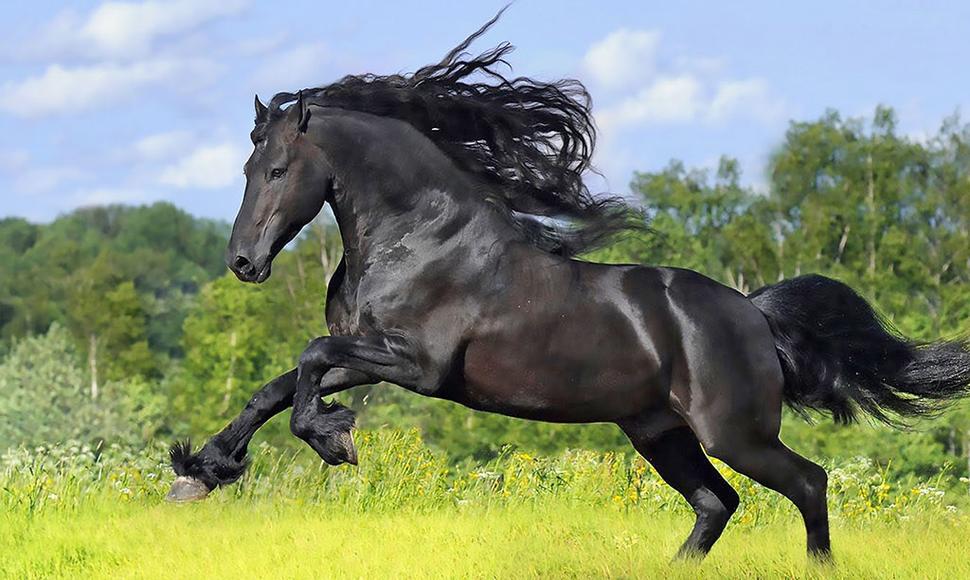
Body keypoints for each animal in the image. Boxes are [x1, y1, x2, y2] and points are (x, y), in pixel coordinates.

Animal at [167, 12, 970, 561]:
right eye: (247, 168)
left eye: (277, 170)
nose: (244, 263)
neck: (419, 237)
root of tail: (751, 313)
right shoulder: (367, 352)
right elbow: (276, 386)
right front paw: (200, 471)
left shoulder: (415, 365)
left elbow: (305, 359)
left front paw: (333, 442)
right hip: (659, 430)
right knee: (717, 503)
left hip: (735, 431)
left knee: (807, 483)